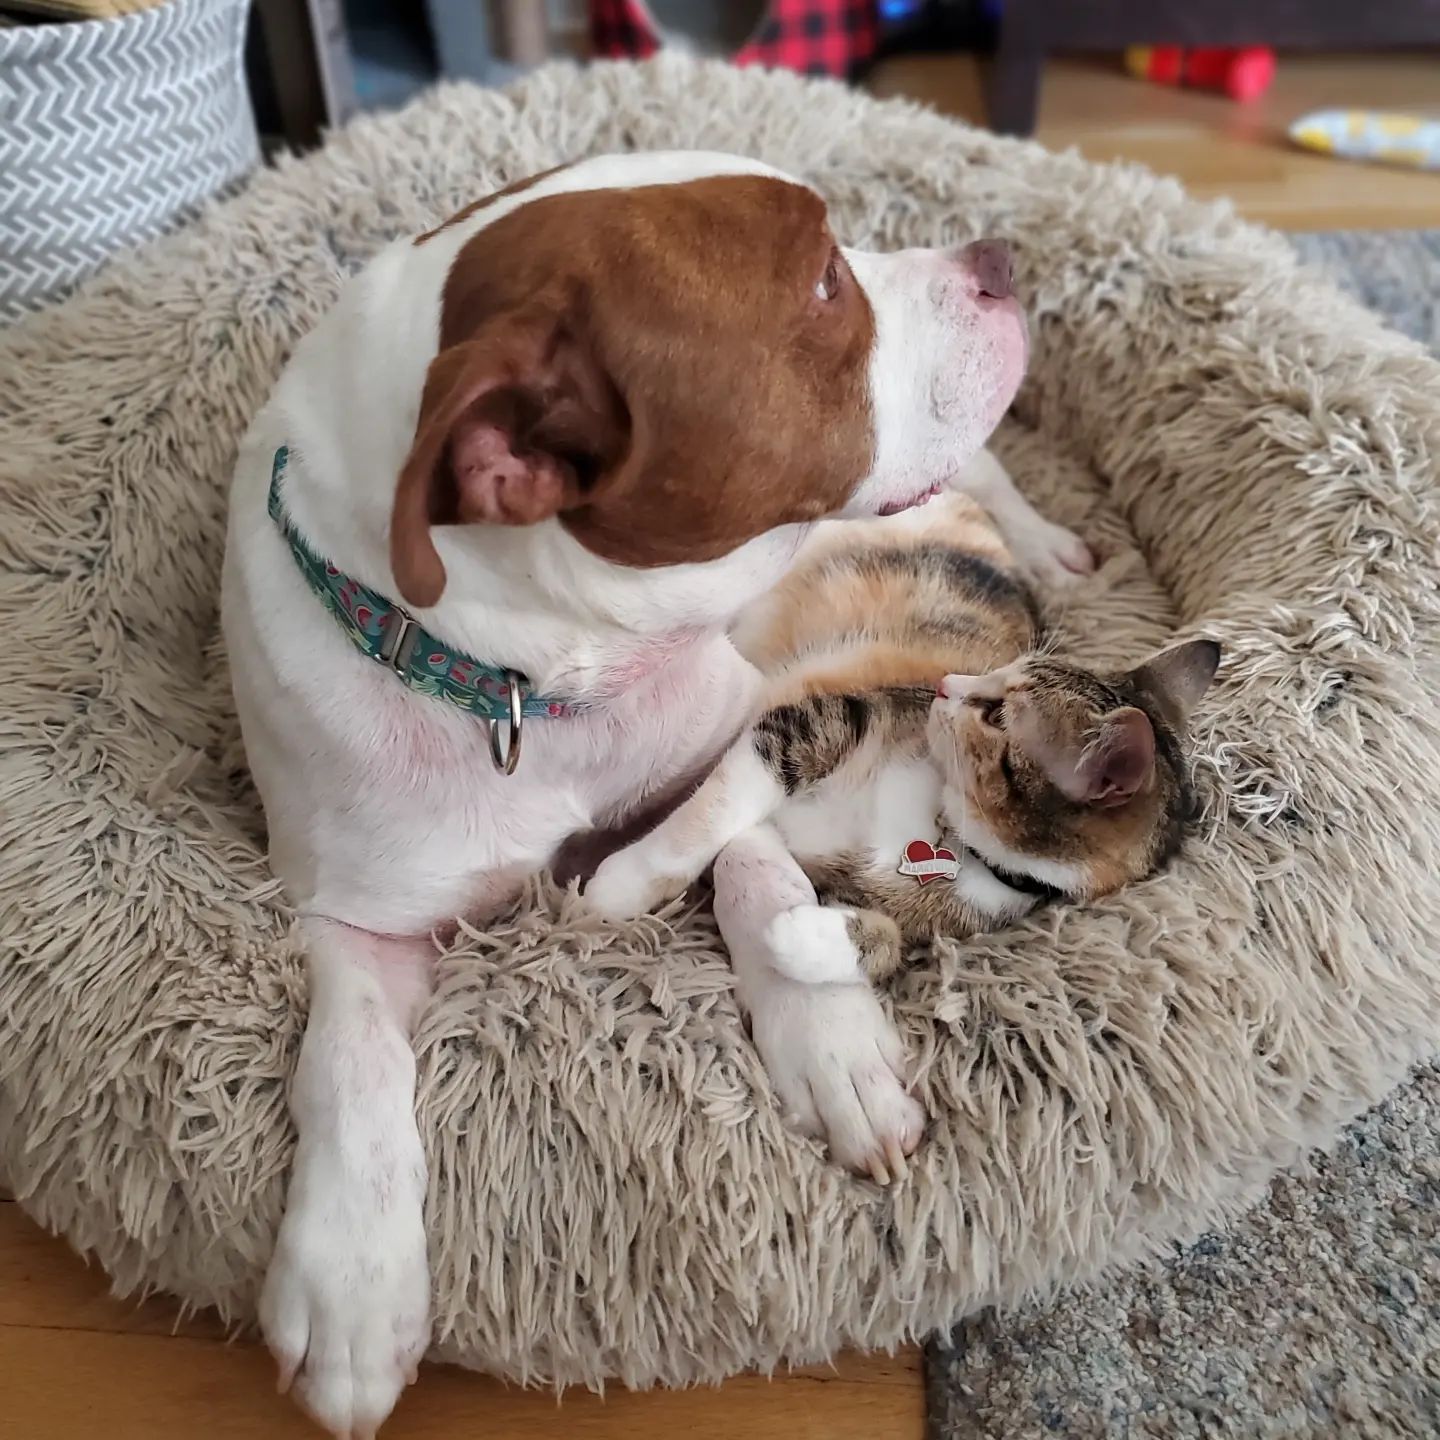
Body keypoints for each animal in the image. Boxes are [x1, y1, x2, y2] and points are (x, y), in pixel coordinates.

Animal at [218, 151, 1082, 1434]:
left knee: (983, 473)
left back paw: (1051, 541)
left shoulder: (738, 716)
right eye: (825, 283)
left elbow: (747, 856)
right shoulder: (351, 914)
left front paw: (830, 1040)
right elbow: (352, 1057)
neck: (531, 686)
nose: (994, 260)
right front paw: (351, 1276)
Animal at [584, 483, 1215, 990]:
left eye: (996, 714)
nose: (945, 684)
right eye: (1000, 674)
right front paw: (621, 886)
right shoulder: (825, 722)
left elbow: (891, 944)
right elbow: (718, 809)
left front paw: (799, 937)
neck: (952, 837)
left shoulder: (958, 920)